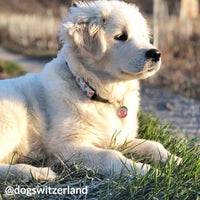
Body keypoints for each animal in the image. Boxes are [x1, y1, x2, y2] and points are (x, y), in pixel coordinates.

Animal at [0, 0, 181, 181]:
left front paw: (173, 159)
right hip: (12, 117)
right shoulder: (65, 144)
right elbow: (111, 155)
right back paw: (36, 172)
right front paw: (146, 171)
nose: (156, 54)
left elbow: (152, 144)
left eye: (143, 36)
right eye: (120, 36)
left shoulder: (117, 138)